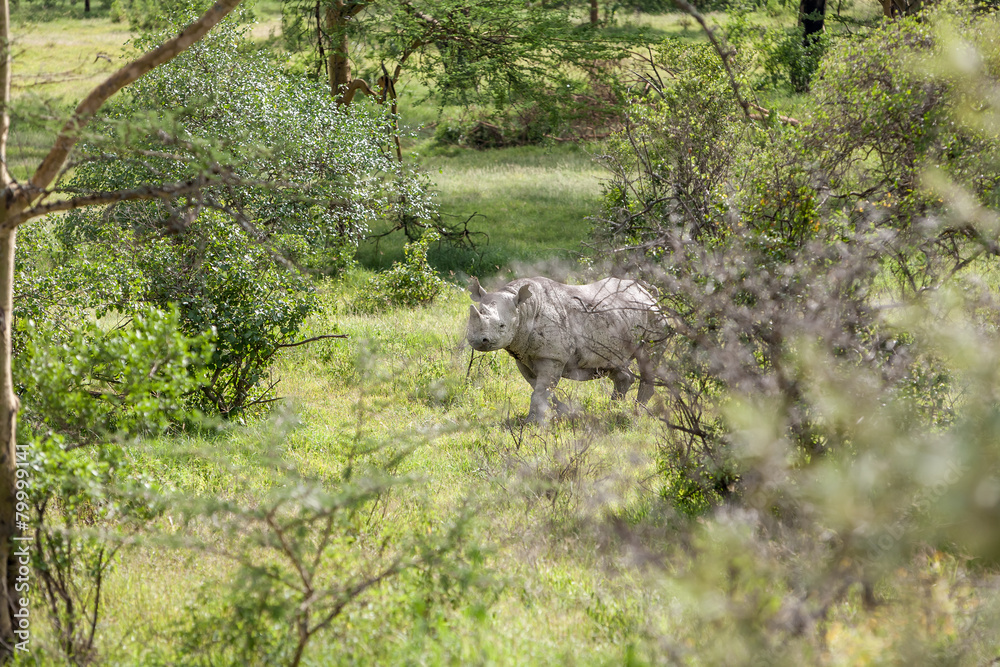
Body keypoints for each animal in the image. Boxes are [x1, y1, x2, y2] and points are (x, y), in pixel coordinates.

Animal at [465, 276, 663, 422]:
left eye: (502, 326)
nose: (478, 341)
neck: (522, 310)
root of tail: (647, 292)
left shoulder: (552, 357)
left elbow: (541, 390)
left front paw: (533, 423)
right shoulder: (522, 354)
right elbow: (538, 387)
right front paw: (567, 412)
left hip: (653, 316)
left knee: (648, 357)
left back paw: (638, 412)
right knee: (616, 363)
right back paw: (614, 409)